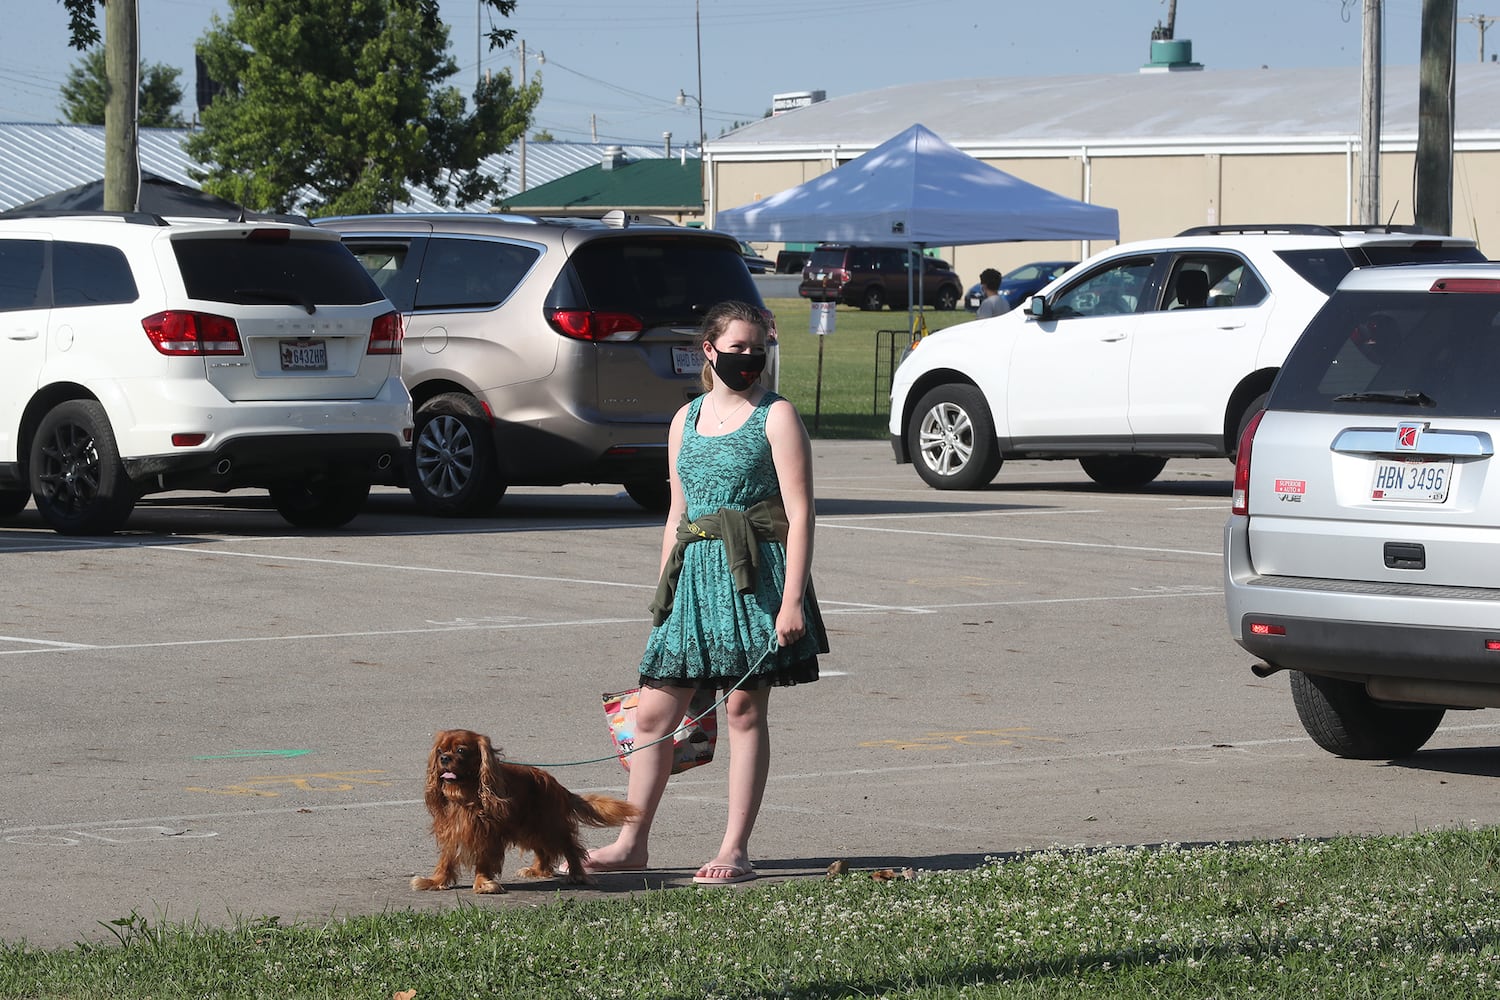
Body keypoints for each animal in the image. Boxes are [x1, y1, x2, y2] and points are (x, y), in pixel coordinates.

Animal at [414, 728, 642, 893]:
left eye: (460, 750)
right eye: (440, 751)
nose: (444, 759)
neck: (465, 796)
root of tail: (557, 785)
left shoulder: (488, 834)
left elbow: (484, 860)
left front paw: (483, 883)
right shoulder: (452, 830)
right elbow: (446, 859)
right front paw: (435, 881)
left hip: (549, 825)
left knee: (570, 847)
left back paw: (577, 874)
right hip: (528, 828)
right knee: (543, 851)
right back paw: (538, 870)